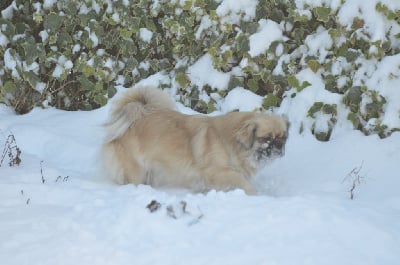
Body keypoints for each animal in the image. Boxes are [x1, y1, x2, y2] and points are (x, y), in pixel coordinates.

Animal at [100, 86, 288, 194]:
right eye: (267, 138)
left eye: (283, 138)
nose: (279, 146)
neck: (232, 144)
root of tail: (136, 116)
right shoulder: (217, 172)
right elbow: (243, 183)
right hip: (136, 170)